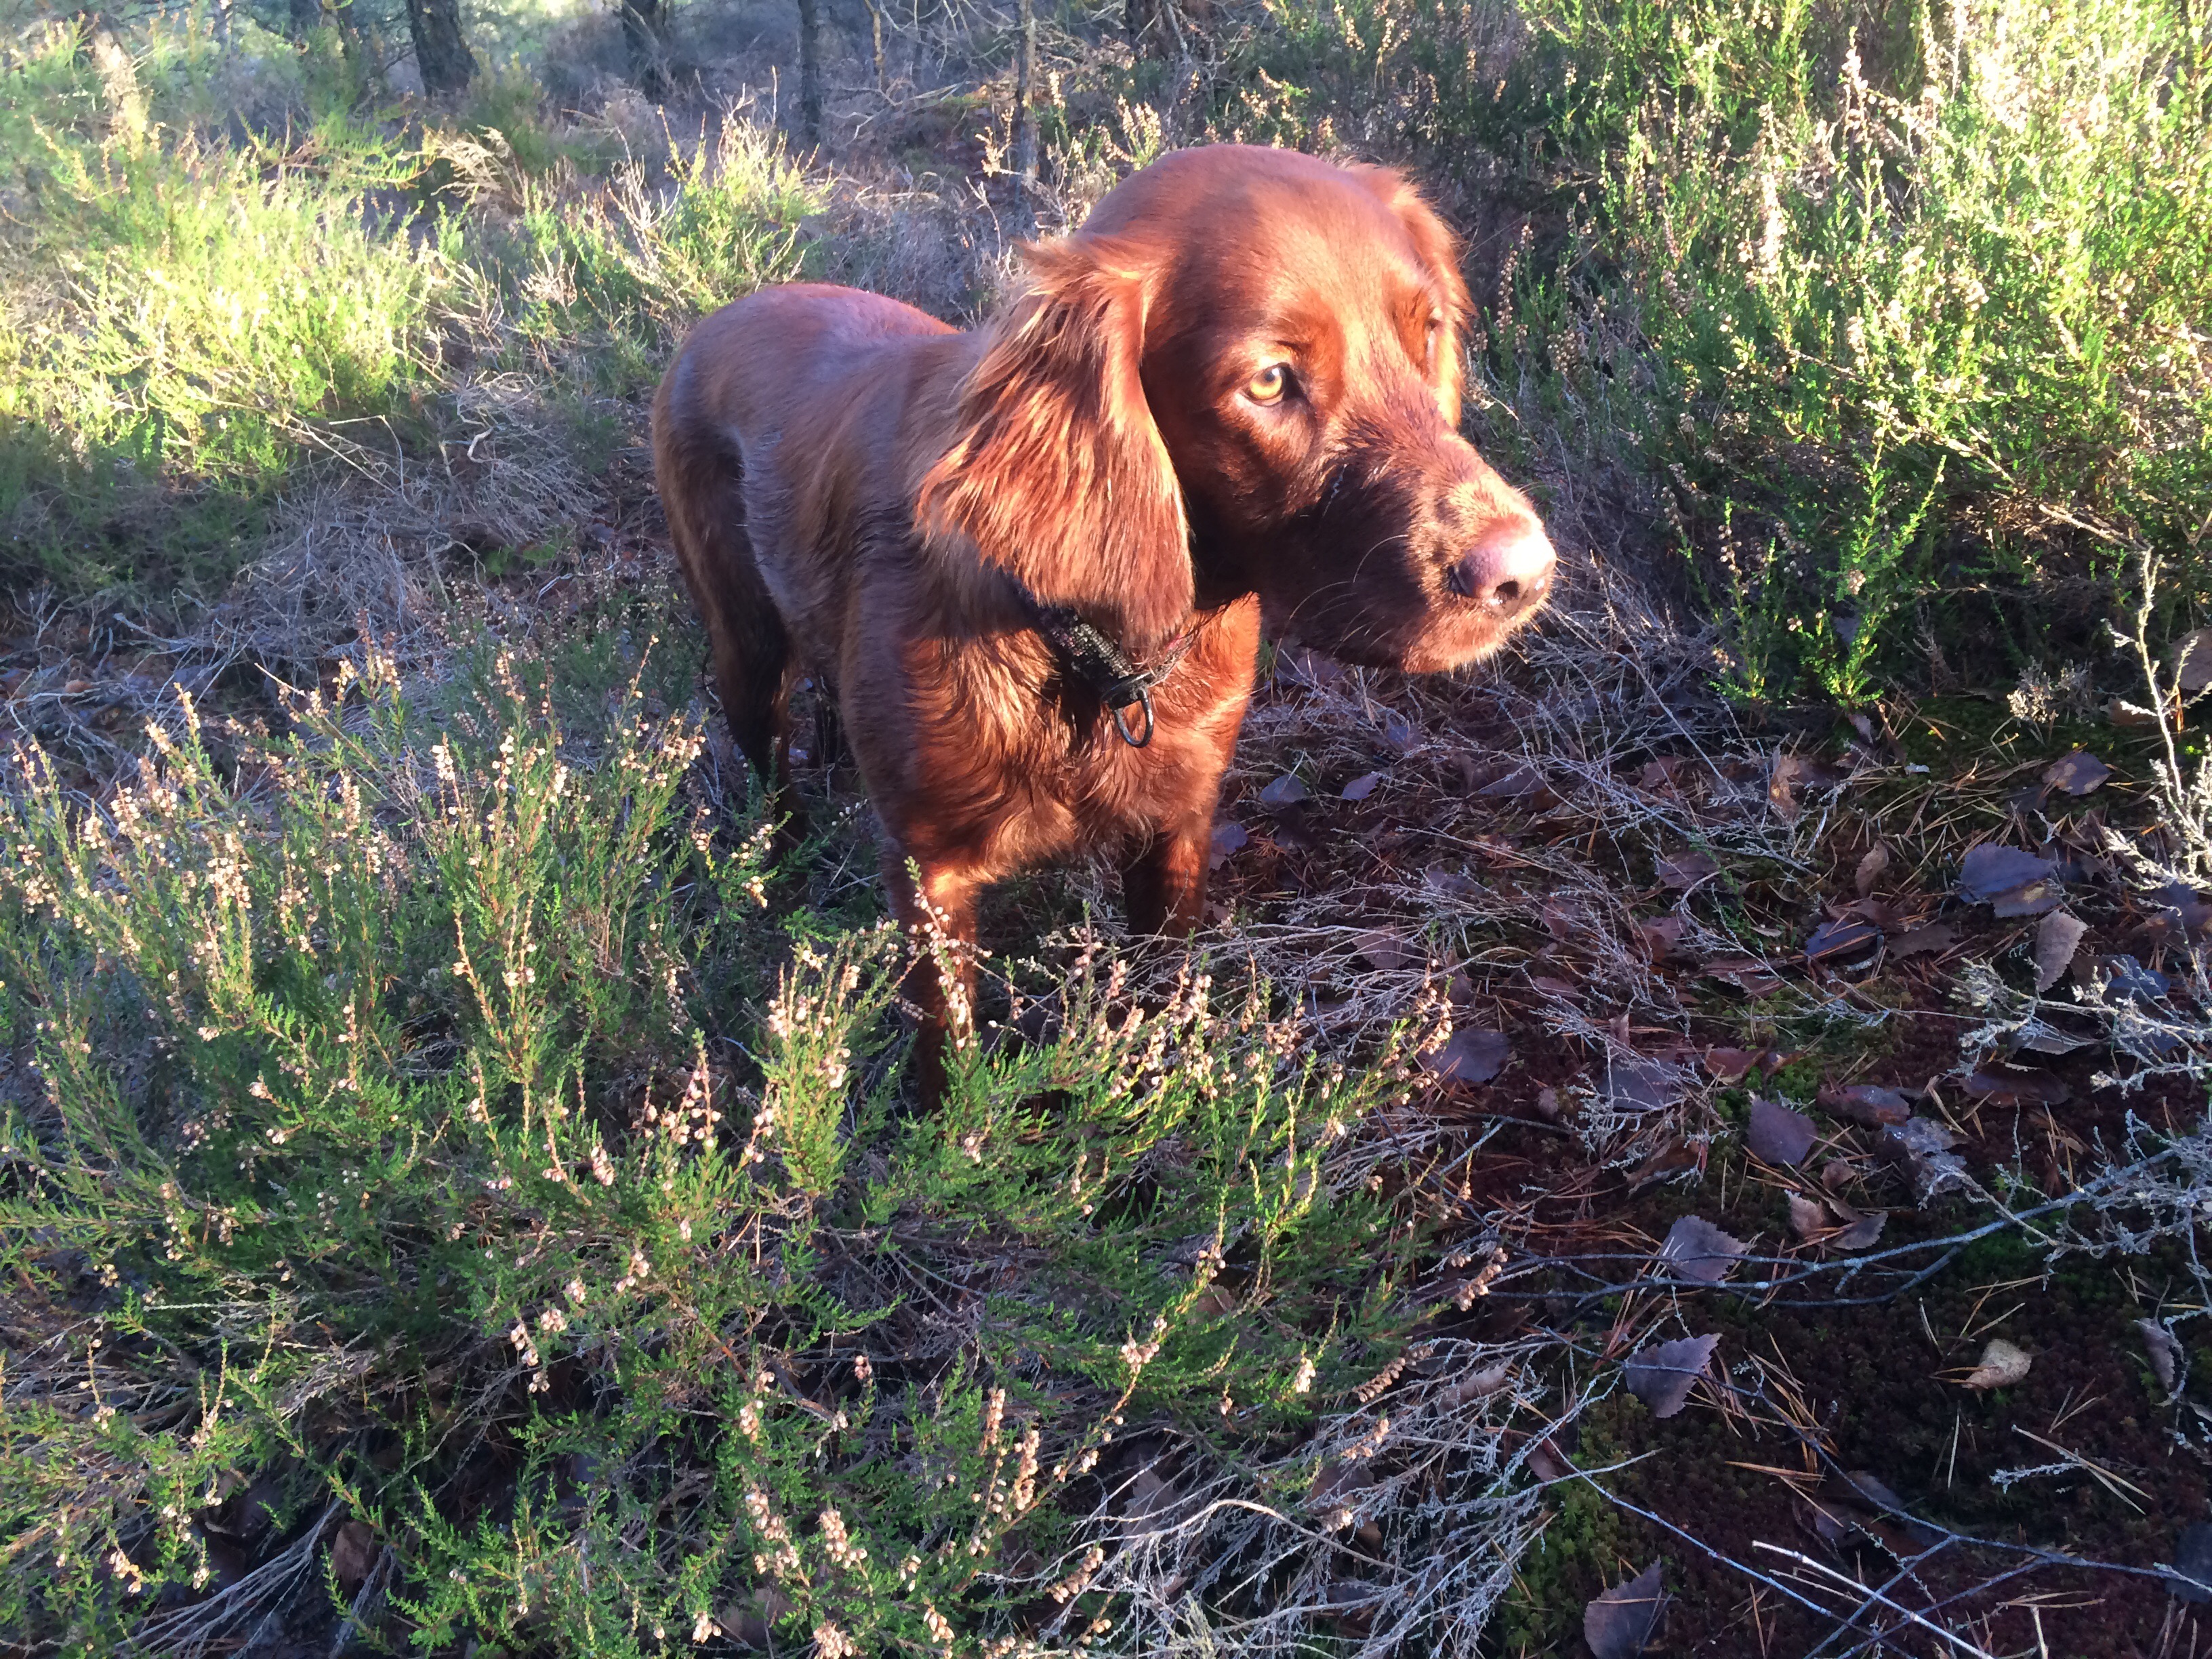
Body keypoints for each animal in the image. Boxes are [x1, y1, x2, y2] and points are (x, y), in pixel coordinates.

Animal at [654, 144, 1555, 1096]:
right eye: (1270, 380)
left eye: (1429, 332)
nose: (1524, 576)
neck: (1096, 652)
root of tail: (725, 313)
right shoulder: (929, 873)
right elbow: (947, 1055)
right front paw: (938, 1124)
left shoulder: (1178, 828)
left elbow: (1162, 992)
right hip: (745, 653)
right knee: (770, 767)